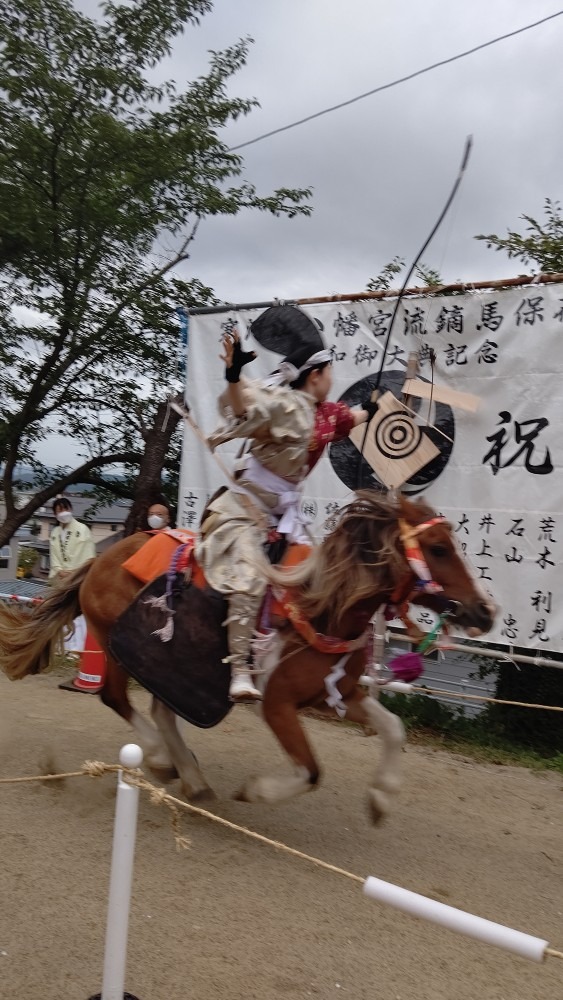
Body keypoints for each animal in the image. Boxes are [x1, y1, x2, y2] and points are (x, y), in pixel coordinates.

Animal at [0, 490, 494, 820]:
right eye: (437, 548)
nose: (485, 611)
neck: (324, 607)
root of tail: (101, 559)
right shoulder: (277, 704)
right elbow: (310, 771)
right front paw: (258, 791)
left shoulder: (339, 694)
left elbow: (394, 728)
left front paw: (382, 796)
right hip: (113, 643)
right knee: (116, 699)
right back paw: (161, 759)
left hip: (166, 666)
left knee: (162, 711)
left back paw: (191, 776)